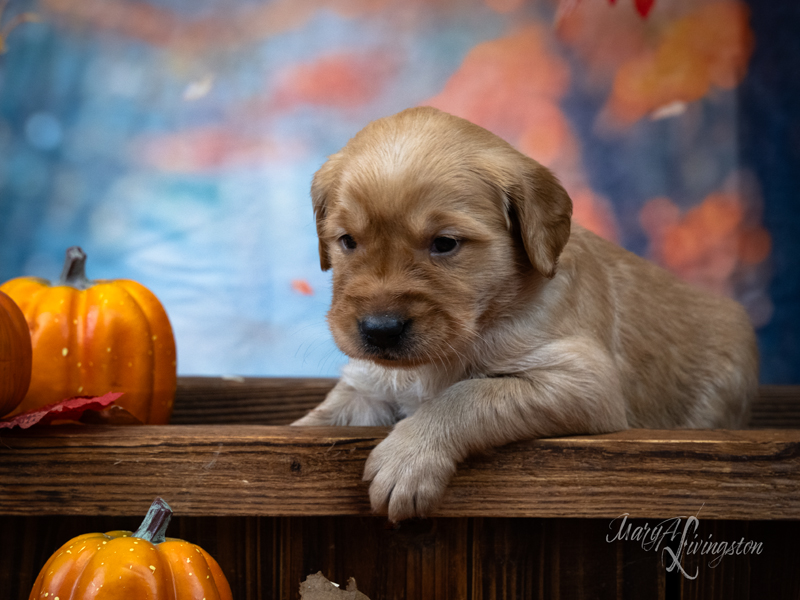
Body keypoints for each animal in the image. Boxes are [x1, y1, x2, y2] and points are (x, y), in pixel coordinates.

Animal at [292, 106, 756, 520]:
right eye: (348, 241)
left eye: (445, 244)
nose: (380, 330)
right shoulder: (368, 386)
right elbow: (329, 414)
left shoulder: (583, 382)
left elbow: (466, 394)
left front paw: (409, 456)